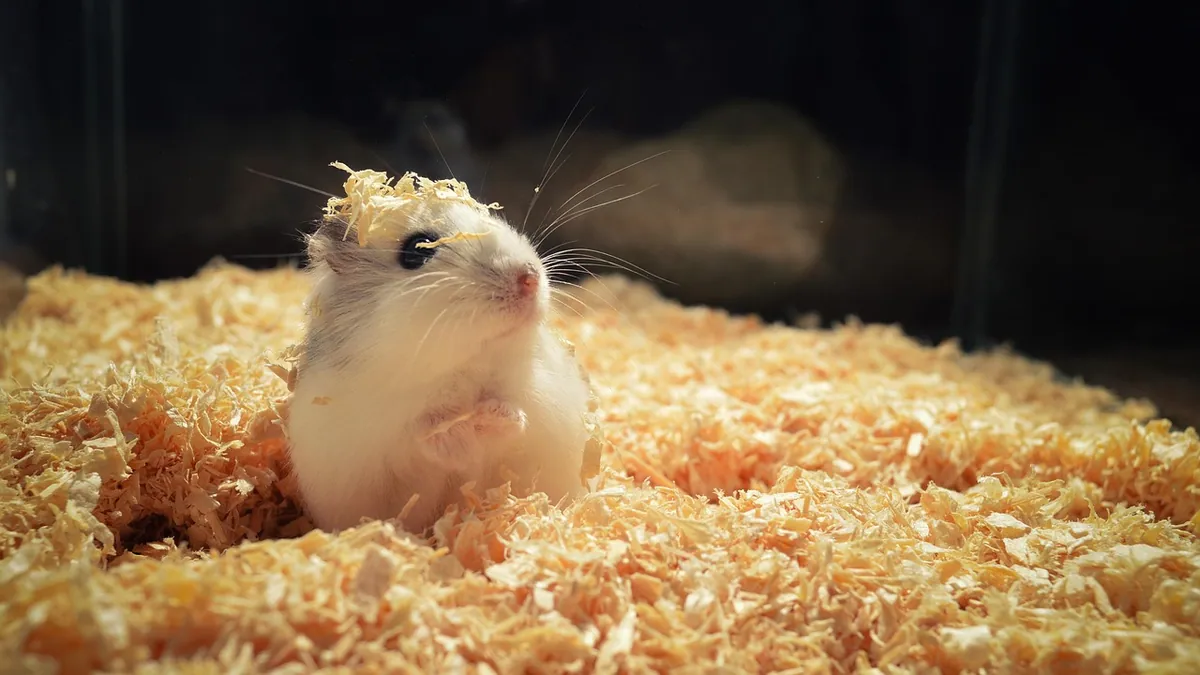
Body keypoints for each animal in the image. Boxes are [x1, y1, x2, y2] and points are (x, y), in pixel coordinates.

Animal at [285, 168, 592, 534]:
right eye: (416, 250)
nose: (529, 278)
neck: (462, 369)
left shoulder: (542, 404)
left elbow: (514, 418)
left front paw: (488, 417)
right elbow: (420, 442)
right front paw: (453, 431)